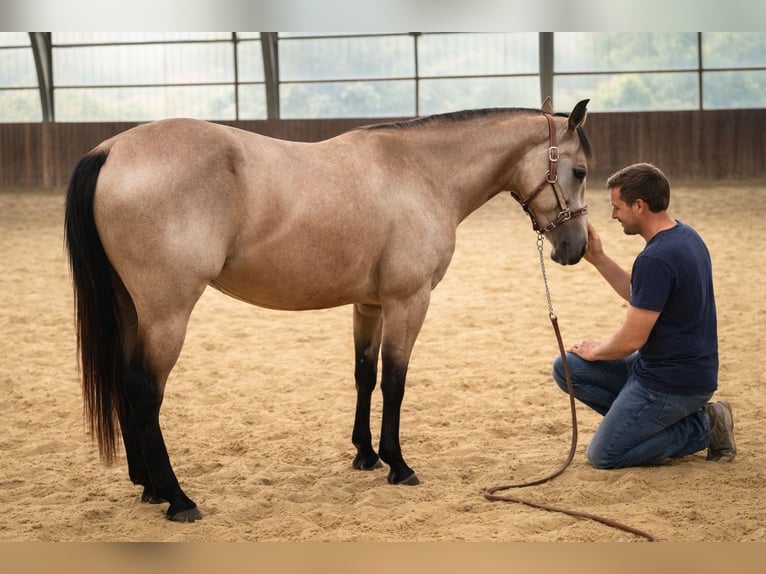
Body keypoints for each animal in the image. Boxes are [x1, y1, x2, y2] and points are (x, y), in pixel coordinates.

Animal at [64, 97, 591, 523]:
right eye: (580, 171)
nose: (577, 247)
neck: (421, 172)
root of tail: (109, 150)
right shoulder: (408, 301)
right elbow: (395, 381)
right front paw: (398, 464)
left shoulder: (369, 304)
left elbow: (365, 375)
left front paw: (366, 455)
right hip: (167, 314)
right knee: (144, 390)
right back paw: (177, 498)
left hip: (131, 310)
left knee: (124, 382)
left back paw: (148, 486)